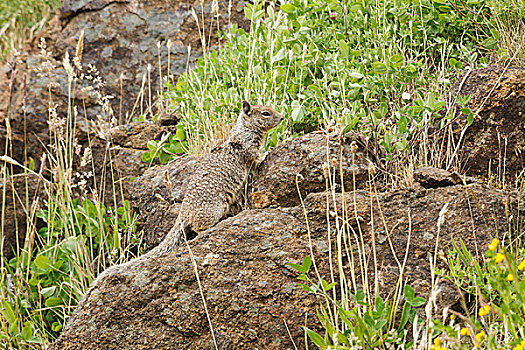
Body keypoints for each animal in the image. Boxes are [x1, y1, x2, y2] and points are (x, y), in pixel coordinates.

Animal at [70, 100, 284, 322]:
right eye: (266, 113)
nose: (283, 117)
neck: (244, 129)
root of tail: (184, 213)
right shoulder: (248, 149)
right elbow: (257, 157)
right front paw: (270, 151)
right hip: (212, 211)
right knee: (199, 228)